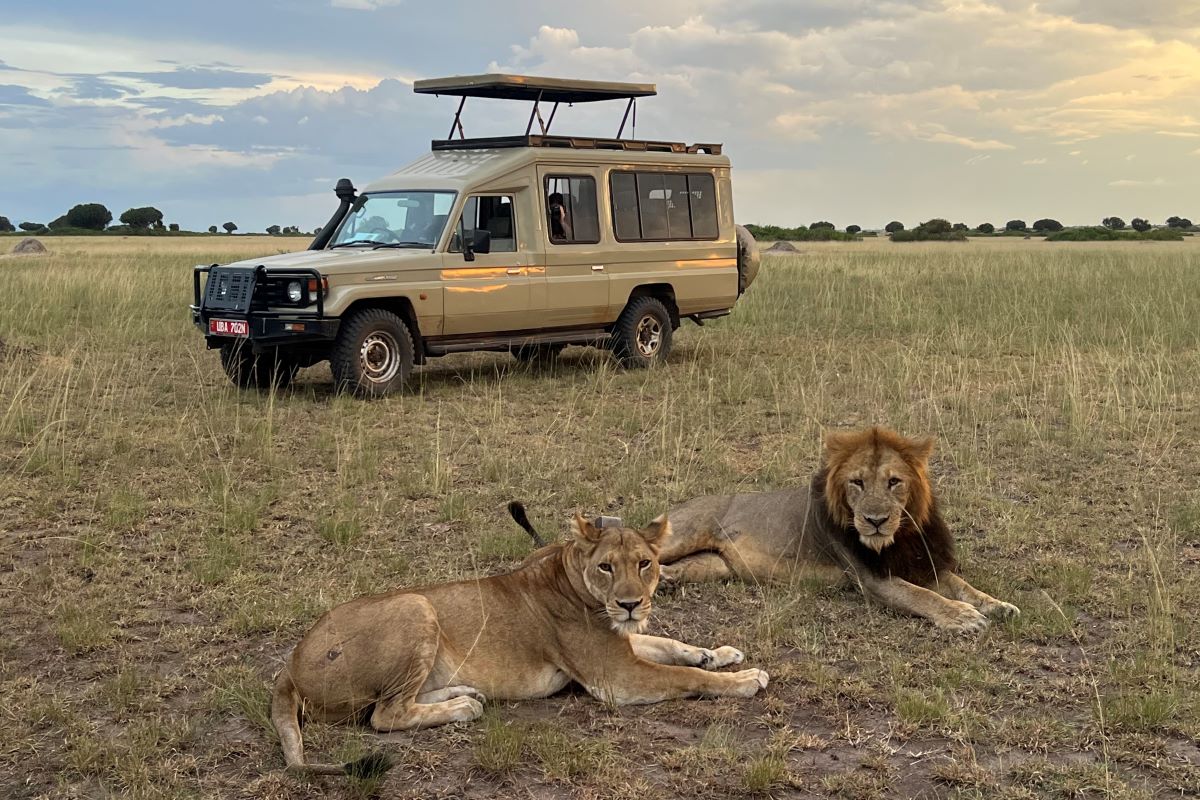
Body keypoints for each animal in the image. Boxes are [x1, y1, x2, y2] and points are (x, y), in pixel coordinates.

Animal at [272, 513, 768, 777]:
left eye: (645, 563)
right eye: (607, 566)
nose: (631, 604)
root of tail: (288, 666)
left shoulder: (623, 646)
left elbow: (668, 644)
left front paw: (720, 653)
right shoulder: (616, 679)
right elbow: (684, 675)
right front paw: (745, 679)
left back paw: (464, 693)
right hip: (416, 605)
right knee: (384, 715)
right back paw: (462, 708)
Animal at [657, 429, 1022, 633]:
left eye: (894, 482)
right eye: (856, 483)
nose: (875, 520)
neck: (899, 535)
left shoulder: (922, 562)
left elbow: (962, 585)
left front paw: (998, 606)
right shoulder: (873, 579)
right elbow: (923, 595)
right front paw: (962, 617)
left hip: (716, 565)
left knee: (679, 567)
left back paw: (664, 581)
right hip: (684, 534)